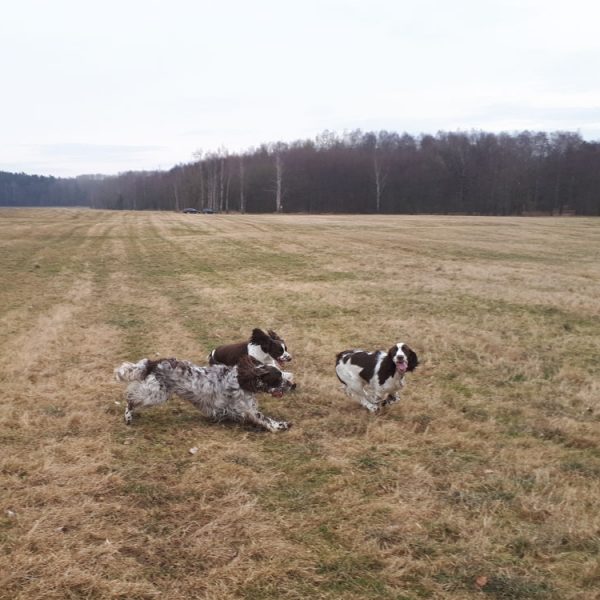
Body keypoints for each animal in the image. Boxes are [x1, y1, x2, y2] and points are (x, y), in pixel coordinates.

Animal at [114, 355, 293, 432]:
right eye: (277, 378)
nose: (294, 384)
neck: (244, 380)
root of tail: (154, 362)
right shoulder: (248, 409)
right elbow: (265, 419)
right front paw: (282, 425)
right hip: (156, 394)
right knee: (131, 398)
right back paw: (128, 416)